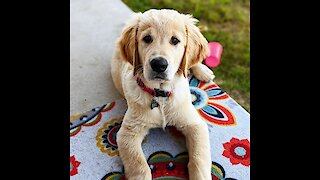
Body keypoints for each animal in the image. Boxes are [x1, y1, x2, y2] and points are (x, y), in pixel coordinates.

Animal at [111, 8, 214, 180]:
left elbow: (199, 159)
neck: (160, 95)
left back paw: (204, 71)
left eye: (175, 40)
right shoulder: (128, 133)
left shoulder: (194, 124)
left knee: (190, 63)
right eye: (147, 38)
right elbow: (139, 167)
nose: (159, 64)